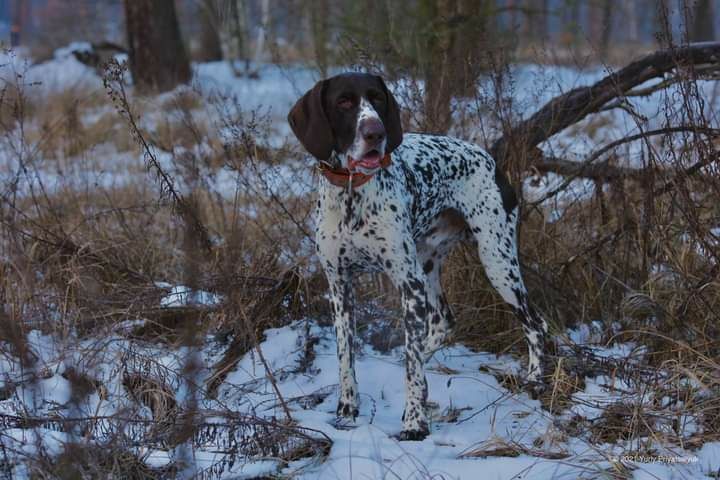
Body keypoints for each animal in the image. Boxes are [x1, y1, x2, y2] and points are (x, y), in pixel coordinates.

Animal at [286, 72, 544, 442]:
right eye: (344, 102)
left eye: (378, 98)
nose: (375, 133)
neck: (352, 193)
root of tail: (491, 161)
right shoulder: (340, 287)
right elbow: (346, 357)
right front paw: (347, 410)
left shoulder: (407, 285)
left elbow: (412, 367)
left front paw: (414, 423)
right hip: (428, 264)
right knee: (441, 322)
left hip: (497, 261)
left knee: (535, 323)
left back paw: (535, 379)